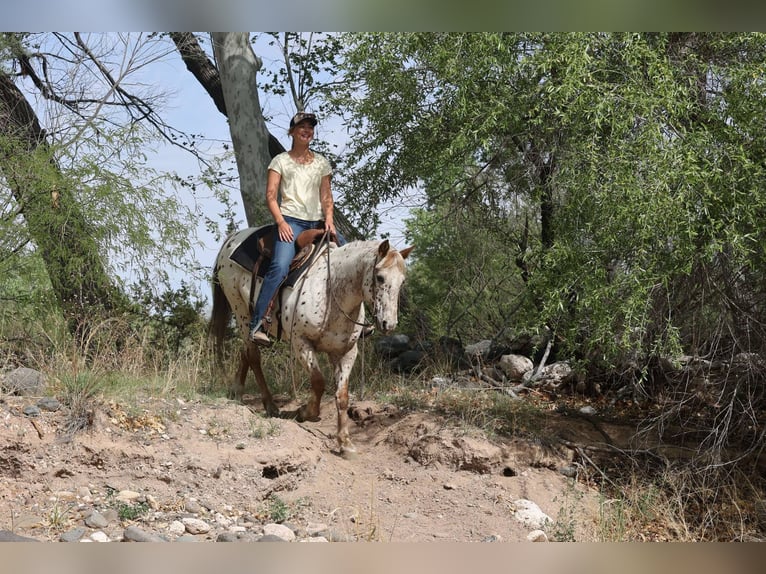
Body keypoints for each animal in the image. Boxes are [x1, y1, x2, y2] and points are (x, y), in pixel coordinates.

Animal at [210, 227, 413, 457]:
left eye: (402, 281)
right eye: (379, 277)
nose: (389, 323)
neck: (331, 291)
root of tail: (235, 237)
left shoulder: (346, 352)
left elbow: (342, 395)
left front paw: (345, 442)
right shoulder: (301, 342)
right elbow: (318, 382)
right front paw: (305, 412)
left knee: (245, 352)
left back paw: (236, 392)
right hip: (241, 312)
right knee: (253, 355)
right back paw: (270, 405)